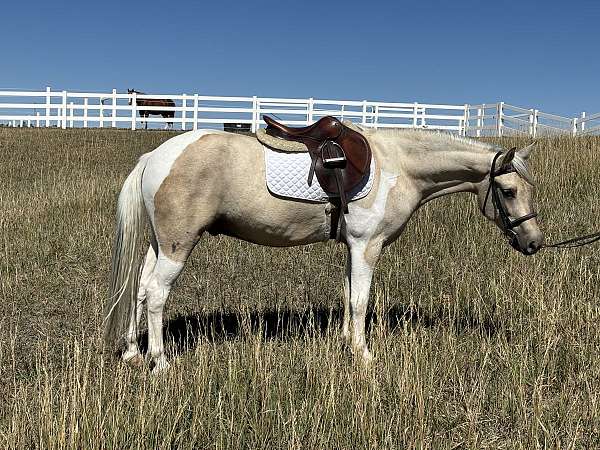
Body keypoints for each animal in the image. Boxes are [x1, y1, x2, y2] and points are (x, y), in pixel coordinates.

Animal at [104, 125, 544, 372]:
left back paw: (133, 352)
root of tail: (155, 156)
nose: (534, 242)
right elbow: (361, 301)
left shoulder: (353, 247)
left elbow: (349, 296)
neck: (397, 166)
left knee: (139, 290)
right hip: (178, 245)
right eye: (508, 191)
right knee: (157, 294)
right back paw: (160, 362)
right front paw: (364, 355)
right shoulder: (367, 246)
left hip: (158, 244)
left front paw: (347, 343)